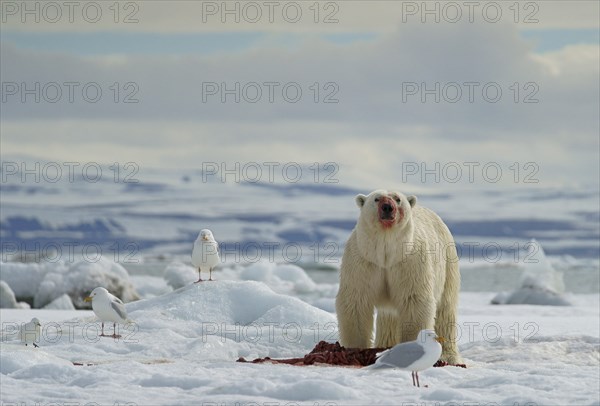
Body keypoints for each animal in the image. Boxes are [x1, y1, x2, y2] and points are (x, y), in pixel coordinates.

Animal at [336, 190, 462, 364]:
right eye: (376, 199)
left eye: (398, 199)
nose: (388, 207)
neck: (386, 254)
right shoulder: (363, 261)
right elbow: (356, 301)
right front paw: (355, 350)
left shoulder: (410, 262)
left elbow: (414, 302)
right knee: (389, 317)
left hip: (448, 263)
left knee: (445, 309)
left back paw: (449, 356)